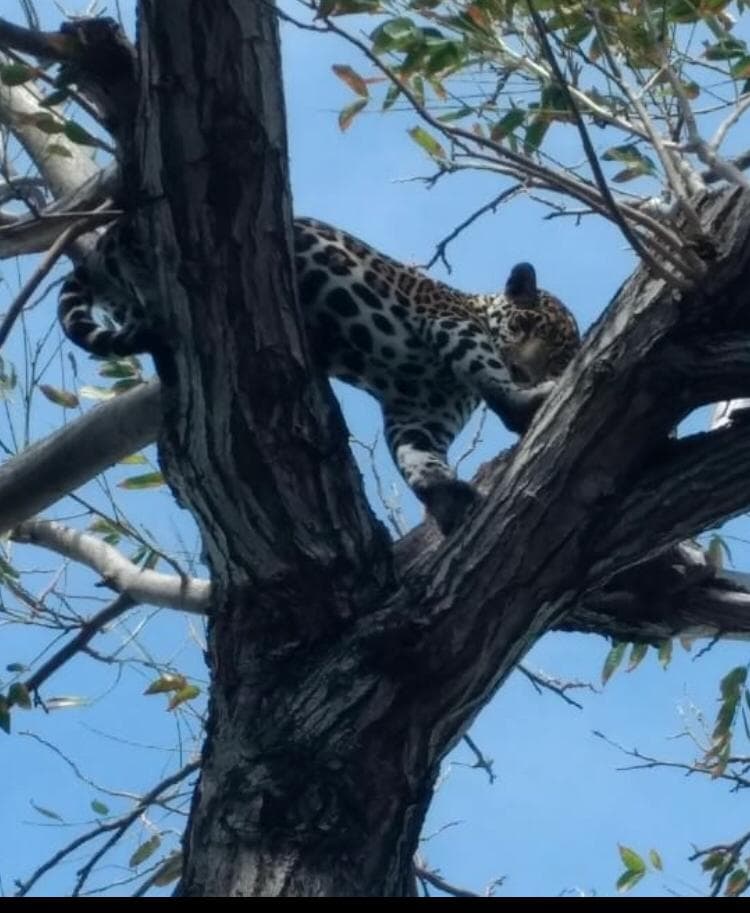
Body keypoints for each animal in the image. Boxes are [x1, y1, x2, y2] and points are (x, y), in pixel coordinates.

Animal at [58, 216, 580, 535]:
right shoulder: (450, 326)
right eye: (527, 326)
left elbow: (417, 459)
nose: (525, 368)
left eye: (559, 357)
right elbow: (488, 374)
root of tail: (103, 245)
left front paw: (446, 499)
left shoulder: (417, 415)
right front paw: (525, 402)